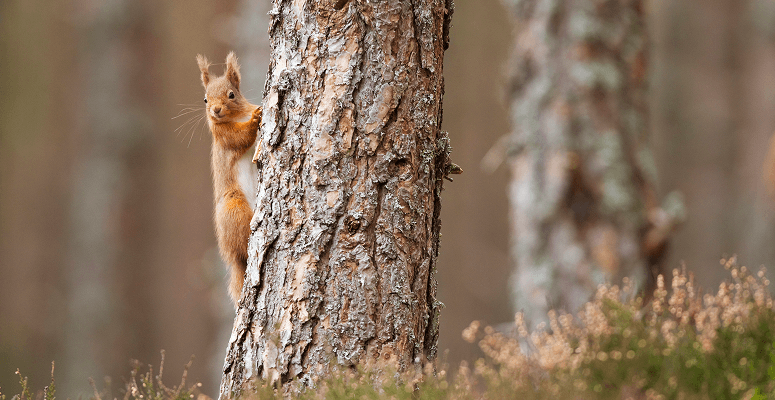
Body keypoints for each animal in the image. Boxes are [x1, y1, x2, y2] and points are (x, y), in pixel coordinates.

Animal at [196, 52, 262, 306]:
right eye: (205, 100)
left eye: (231, 94)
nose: (215, 110)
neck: (238, 115)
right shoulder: (224, 137)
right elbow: (241, 137)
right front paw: (255, 120)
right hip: (233, 207)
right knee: (243, 243)